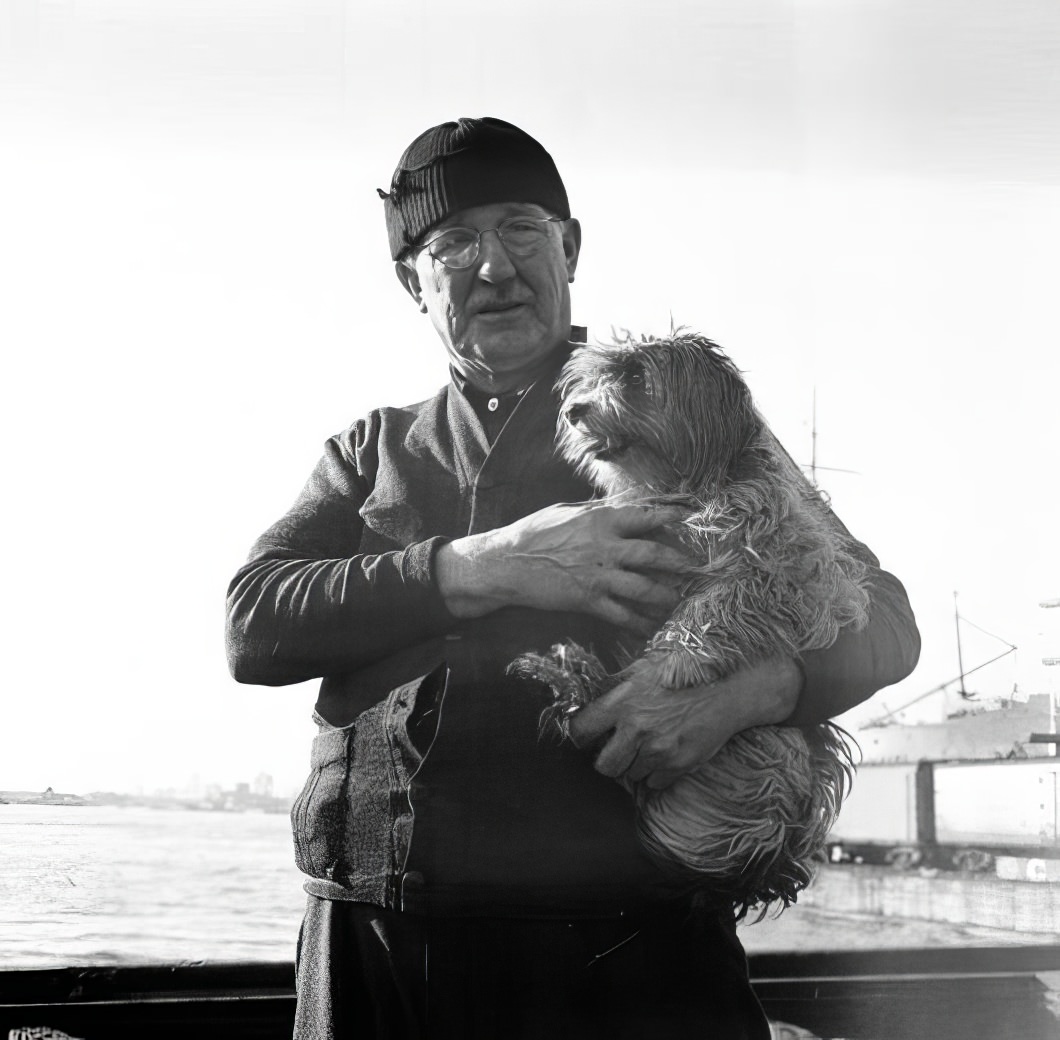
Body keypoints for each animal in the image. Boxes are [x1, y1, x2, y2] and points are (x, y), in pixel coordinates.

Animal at [510, 332, 869, 915]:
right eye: (587, 381)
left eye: (635, 377)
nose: (573, 410)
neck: (685, 485)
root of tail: (760, 868)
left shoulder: (786, 567)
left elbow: (720, 604)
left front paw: (674, 663)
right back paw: (568, 674)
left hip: (765, 765)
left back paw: (572, 676)